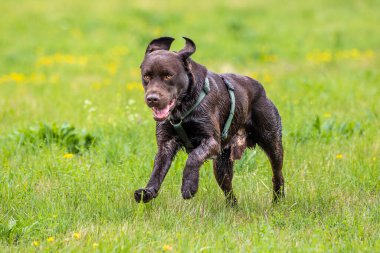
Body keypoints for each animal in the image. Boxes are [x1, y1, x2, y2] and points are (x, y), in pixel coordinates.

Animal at [135, 36, 284, 206]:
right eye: (146, 76)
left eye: (168, 75)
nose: (152, 98)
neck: (182, 108)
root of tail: (262, 90)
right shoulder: (165, 144)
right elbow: (157, 170)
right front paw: (148, 191)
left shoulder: (211, 141)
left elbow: (193, 158)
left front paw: (189, 186)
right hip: (221, 165)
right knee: (229, 191)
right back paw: (234, 207)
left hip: (272, 142)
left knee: (277, 174)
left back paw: (278, 200)